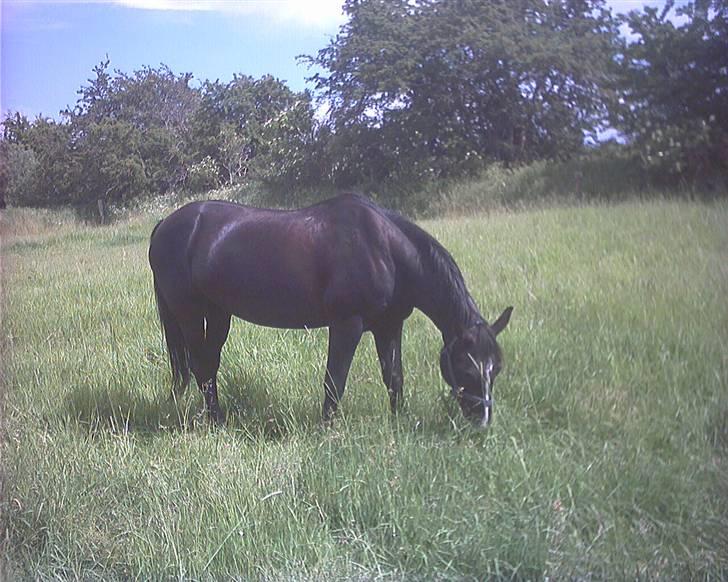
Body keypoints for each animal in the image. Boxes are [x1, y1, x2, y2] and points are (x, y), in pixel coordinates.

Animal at [148, 194, 512, 426]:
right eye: (466, 368)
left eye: (496, 369)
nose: (482, 423)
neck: (384, 249)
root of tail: (166, 223)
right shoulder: (347, 325)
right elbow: (334, 380)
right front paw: (327, 430)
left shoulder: (390, 326)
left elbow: (394, 377)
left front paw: (400, 422)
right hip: (189, 313)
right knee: (200, 365)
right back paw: (217, 422)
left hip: (219, 313)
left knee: (208, 364)